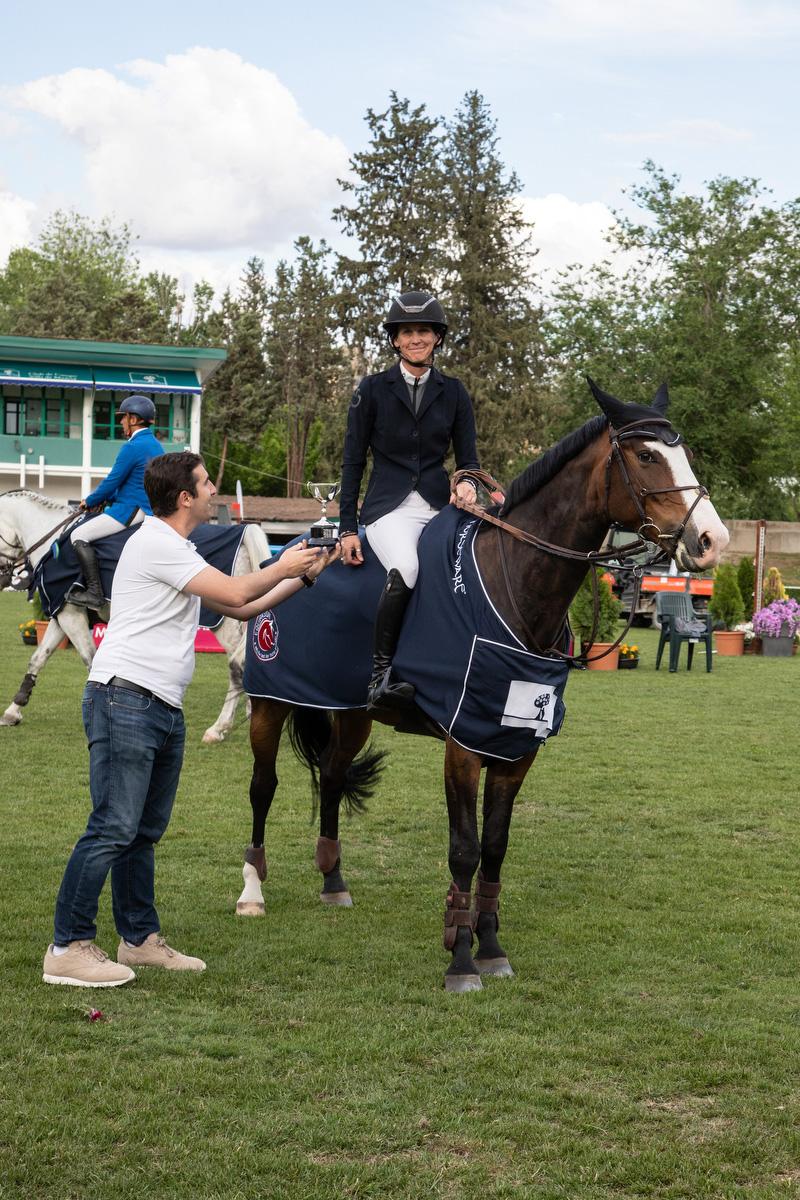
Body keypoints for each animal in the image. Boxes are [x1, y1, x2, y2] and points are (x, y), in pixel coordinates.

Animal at [0, 487, 268, 739]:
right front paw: (13, 711)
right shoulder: (63, 614)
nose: (4, 576)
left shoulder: (71, 615)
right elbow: (38, 658)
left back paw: (219, 727)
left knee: (237, 664)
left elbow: (91, 659)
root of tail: (244, 534)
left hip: (224, 621)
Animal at [236, 384, 724, 993]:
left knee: (330, 775)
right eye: (647, 456)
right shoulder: (464, 744)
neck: (514, 577)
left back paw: (333, 882)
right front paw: (461, 959)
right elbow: (464, 850)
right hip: (269, 703)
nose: (712, 542)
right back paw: (251, 891)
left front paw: (490, 947)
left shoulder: (514, 743)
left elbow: (494, 848)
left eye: (683, 454)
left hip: (352, 712)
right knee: (263, 785)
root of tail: (293, 549)